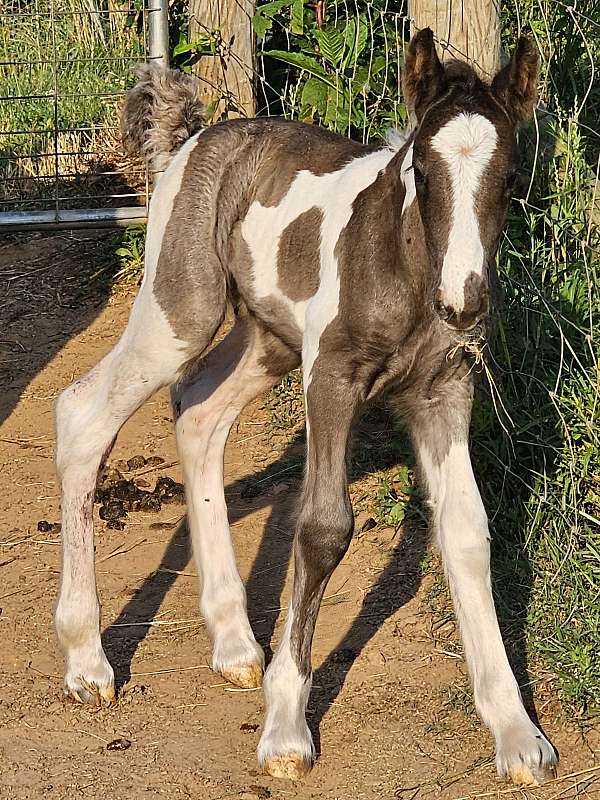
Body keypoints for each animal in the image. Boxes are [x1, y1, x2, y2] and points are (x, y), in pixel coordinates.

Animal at [56, 29, 556, 788]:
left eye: (507, 180)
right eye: (423, 173)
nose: (464, 302)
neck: (403, 266)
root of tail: (194, 138)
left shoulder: (444, 392)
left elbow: (468, 533)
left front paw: (516, 732)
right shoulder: (331, 379)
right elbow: (322, 529)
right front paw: (287, 730)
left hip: (269, 341)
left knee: (198, 412)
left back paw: (234, 641)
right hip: (181, 313)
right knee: (84, 414)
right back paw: (88, 662)